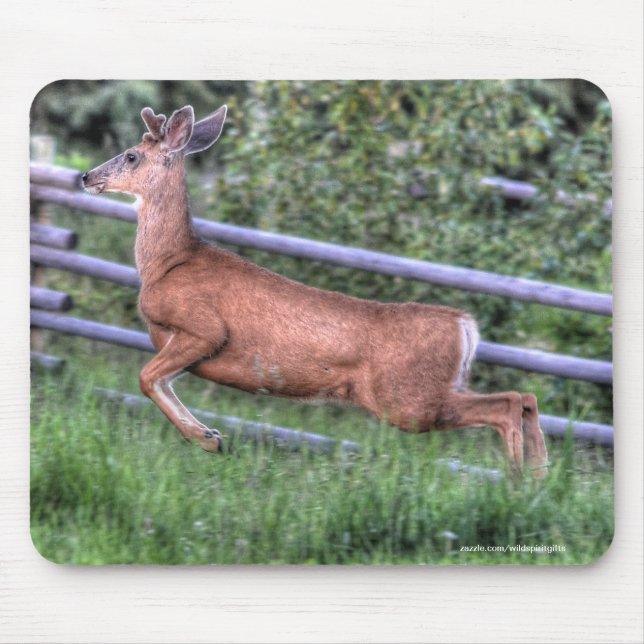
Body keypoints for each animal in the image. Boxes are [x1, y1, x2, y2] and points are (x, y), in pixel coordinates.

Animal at [82, 104, 549, 478]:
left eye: (131, 155)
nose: (87, 175)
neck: (167, 263)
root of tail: (463, 324)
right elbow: (158, 382)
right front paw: (211, 434)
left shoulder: (202, 327)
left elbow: (145, 378)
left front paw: (208, 439)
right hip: (428, 391)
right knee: (525, 396)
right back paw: (538, 479)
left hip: (406, 399)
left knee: (507, 403)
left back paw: (519, 483)